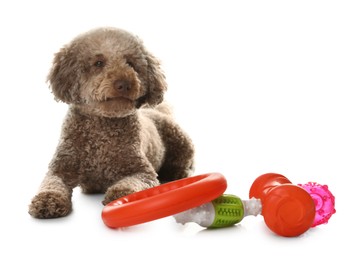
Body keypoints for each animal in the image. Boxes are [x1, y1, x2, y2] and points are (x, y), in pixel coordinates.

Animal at [28, 27, 195, 219]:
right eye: (99, 63)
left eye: (130, 63)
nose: (124, 83)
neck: (101, 129)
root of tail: (157, 110)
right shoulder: (59, 169)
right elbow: (51, 184)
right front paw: (47, 201)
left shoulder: (142, 171)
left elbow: (132, 182)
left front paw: (122, 194)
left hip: (180, 140)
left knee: (185, 162)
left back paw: (177, 173)